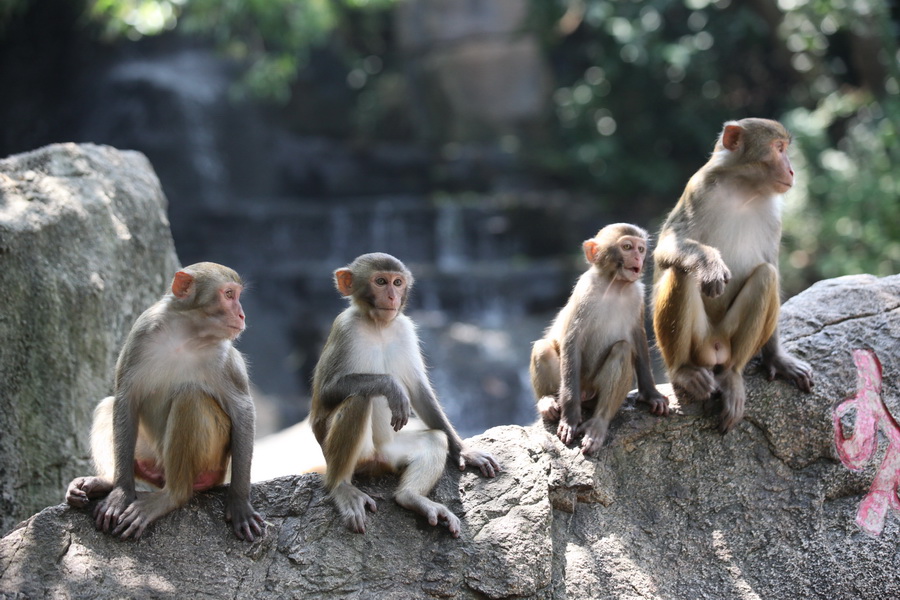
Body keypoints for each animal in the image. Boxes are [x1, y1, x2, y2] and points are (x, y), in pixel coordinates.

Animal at [65, 260, 266, 540]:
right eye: (228, 295)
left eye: (236, 295)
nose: (242, 315)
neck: (187, 335)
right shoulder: (142, 333)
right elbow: (126, 399)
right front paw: (120, 493)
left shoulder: (225, 359)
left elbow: (242, 411)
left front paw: (239, 502)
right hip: (149, 456)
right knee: (108, 406)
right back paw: (106, 481)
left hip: (213, 463)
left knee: (189, 399)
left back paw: (171, 496)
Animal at [310, 251, 500, 536]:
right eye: (380, 281)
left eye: (397, 283)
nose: (392, 297)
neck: (378, 326)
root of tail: (377, 462)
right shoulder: (344, 329)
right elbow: (326, 393)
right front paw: (391, 387)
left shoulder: (404, 329)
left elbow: (420, 392)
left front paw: (466, 451)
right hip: (355, 458)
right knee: (358, 399)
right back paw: (341, 486)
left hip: (392, 453)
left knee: (434, 439)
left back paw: (413, 498)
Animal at [528, 224, 668, 454]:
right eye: (627, 247)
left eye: (640, 249)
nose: (638, 258)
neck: (616, 286)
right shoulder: (584, 292)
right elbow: (572, 341)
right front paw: (570, 416)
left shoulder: (637, 296)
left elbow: (637, 338)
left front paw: (651, 394)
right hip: (573, 385)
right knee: (543, 347)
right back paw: (547, 401)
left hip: (594, 394)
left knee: (622, 350)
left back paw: (598, 425)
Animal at [652, 117, 816, 434]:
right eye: (779, 148)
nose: (792, 170)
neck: (745, 189)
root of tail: (715, 348)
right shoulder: (699, 189)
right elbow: (666, 247)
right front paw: (709, 263)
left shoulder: (774, 215)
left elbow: (770, 265)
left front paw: (777, 358)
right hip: (698, 342)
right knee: (682, 271)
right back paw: (683, 372)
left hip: (727, 340)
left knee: (766, 275)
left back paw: (731, 375)